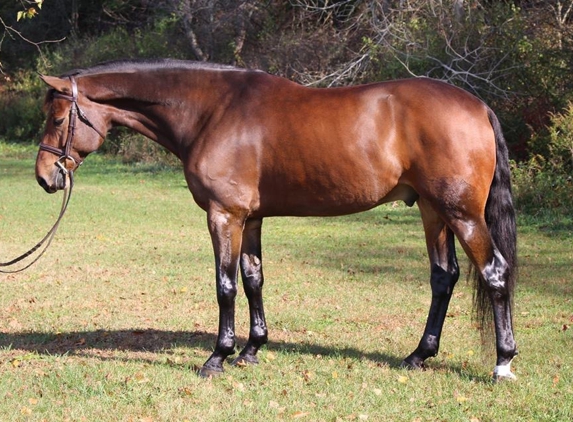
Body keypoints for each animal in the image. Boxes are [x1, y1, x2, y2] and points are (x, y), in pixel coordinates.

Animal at [35, 58, 520, 380]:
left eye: (57, 118)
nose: (44, 177)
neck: (212, 111)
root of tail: (479, 107)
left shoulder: (224, 216)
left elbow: (226, 286)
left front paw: (218, 356)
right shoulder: (250, 219)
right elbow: (253, 280)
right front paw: (252, 349)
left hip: (461, 214)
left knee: (495, 273)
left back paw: (502, 362)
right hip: (432, 210)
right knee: (444, 277)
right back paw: (418, 355)